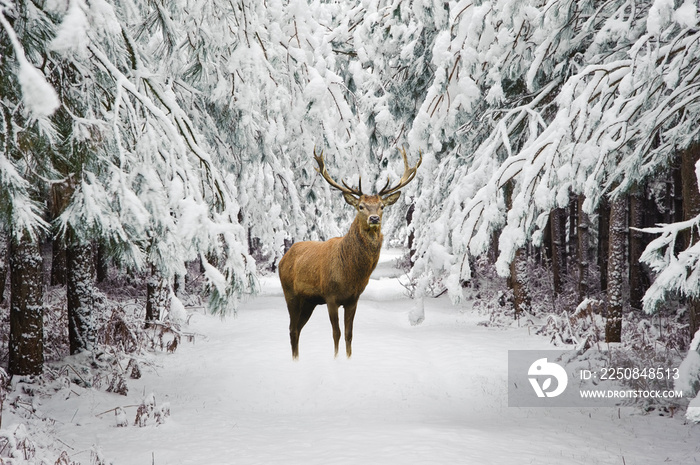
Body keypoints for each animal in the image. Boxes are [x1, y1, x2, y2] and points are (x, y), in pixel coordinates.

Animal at [278, 147, 422, 358]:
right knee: (292, 329)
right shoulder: (330, 296)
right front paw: (336, 359)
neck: (350, 274)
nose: (374, 218)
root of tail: (283, 258)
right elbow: (336, 333)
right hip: (290, 293)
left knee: (297, 328)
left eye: (382, 206)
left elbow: (349, 334)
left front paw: (348, 358)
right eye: (360, 206)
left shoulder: (353, 299)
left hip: (309, 301)